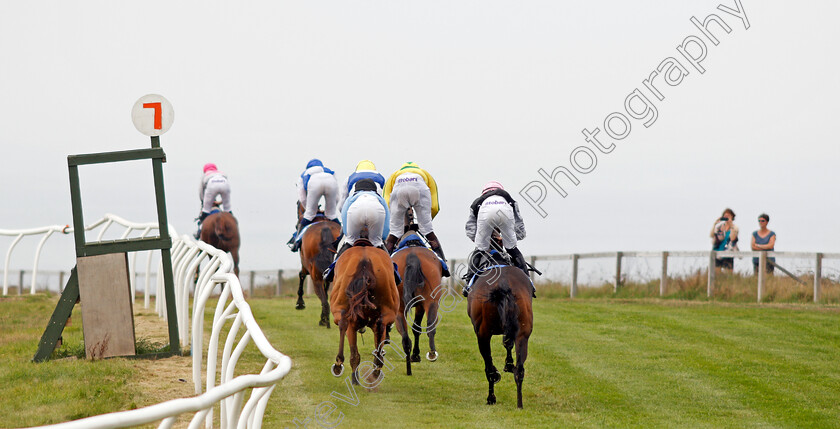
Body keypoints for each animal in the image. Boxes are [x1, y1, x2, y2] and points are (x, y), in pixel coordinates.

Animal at [328, 242, 400, 386]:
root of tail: (365, 262)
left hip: (342, 309)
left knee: (344, 324)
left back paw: (341, 366)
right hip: (385, 312)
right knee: (380, 327)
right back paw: (375, 371)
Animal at [392, 231, 446, 374]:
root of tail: (412, 256)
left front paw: (415, 355)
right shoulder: (421, 305)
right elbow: (417, 328)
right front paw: (416, 355)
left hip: (402, 307)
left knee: (405, 336)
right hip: (431, 301)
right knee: (430, 326)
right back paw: (431, 354)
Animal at [466, 264, 532, 408]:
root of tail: (503, 284)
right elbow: (508, 344)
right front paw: (509, 364)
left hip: (483, 335)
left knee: (489, 368)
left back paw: (491, 397)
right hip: (523, 335)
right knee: (519, 369)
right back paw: (519, 404)